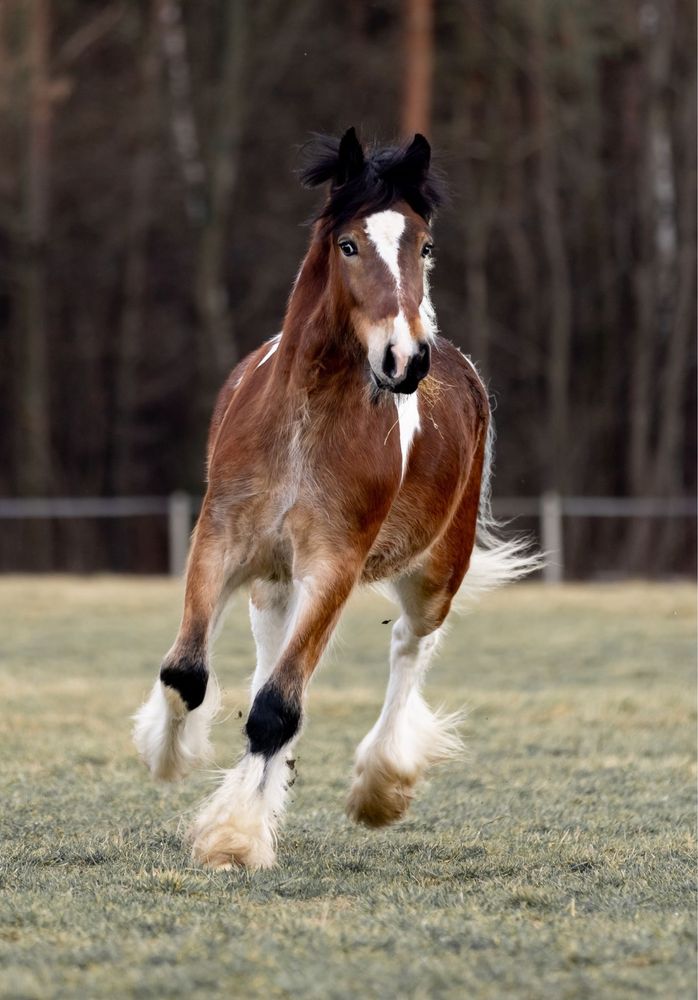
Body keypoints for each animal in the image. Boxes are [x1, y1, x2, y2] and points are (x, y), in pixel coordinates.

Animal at [132, 129, 532, 872]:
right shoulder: (220, 541)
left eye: (424, 246)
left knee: (409, 647)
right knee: (272, 650)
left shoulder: (334, 565)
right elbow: (187, 672)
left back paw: (382, 785)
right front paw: (168, 754)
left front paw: (233, 837)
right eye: (348, 244)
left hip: (437, 568)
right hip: (272, 574)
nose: (405, 359)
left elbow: (277, 708)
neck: (305, 419)